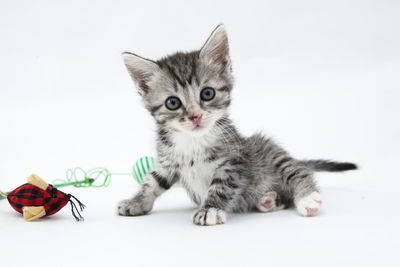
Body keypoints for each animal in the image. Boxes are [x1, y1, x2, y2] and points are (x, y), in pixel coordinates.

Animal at [116, 25, 356, 226]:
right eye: (172, 103)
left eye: (207, 93)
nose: (195, 116)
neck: (193, 141)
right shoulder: (168, 162)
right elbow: (152, 182)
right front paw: (136, 202)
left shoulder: (233, 161)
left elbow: (221, 185)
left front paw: (210, 209)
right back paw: (268, 200)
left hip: (268, 150)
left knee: (297, 170)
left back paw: (307, 198)